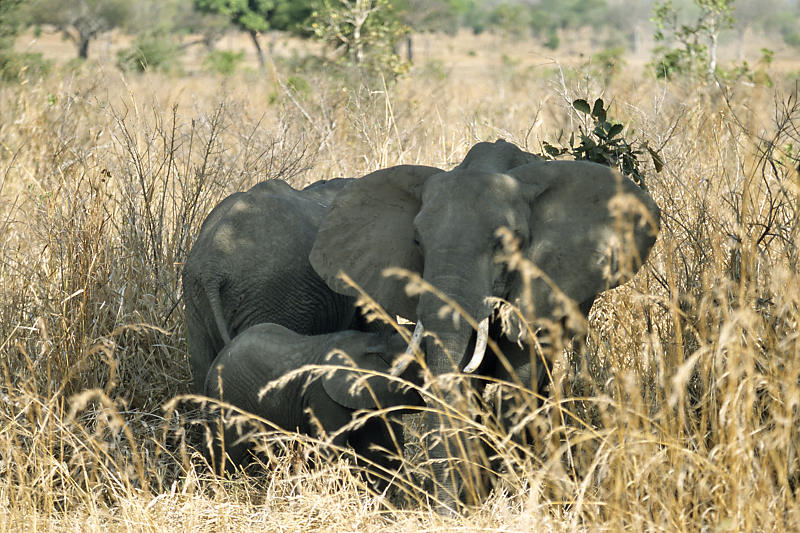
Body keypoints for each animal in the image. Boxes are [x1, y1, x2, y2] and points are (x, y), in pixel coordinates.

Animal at [203, 320, 422, 486]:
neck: (375, 341)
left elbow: (374, 447)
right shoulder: (323, 396)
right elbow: (331, 448)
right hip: (229, 398)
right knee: (228, 449)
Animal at [310, 140, 660, 512]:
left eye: (503, 244)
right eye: (417, 242)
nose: (443, 511)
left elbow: (516, 380)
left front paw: (499, 496)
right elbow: (463, 382)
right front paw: (471, 497)